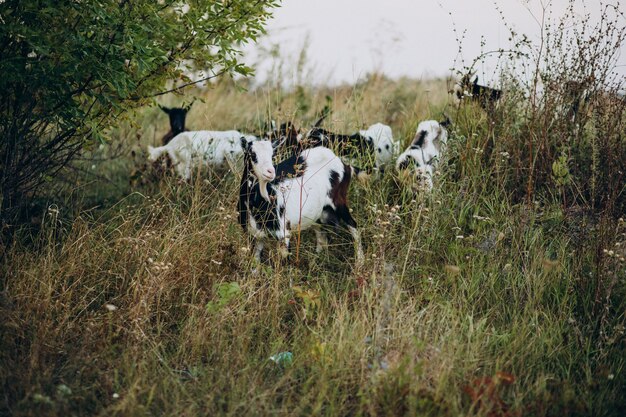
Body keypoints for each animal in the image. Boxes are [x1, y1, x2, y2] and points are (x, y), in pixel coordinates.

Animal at [239, 137, 366, 266]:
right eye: (252, 154)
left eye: (272, 155)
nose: (270, 172)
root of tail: (345, 165)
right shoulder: (255, 235)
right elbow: (255, 262)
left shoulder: (284, 233)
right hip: (319, 212)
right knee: (321, 233)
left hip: (339, 201)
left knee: (352, 224)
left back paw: (360, 261)